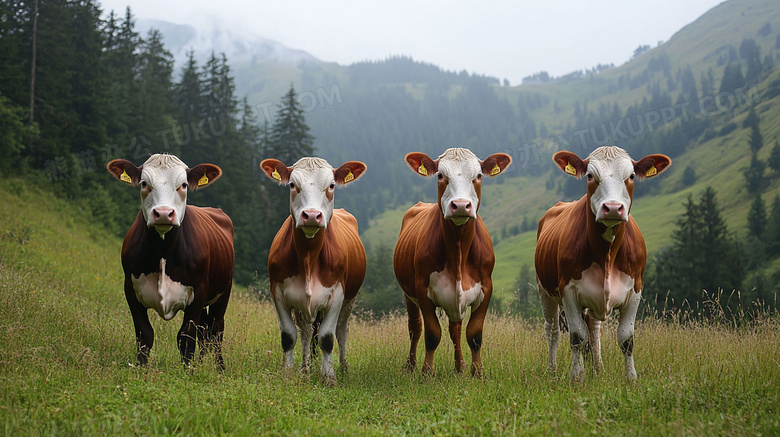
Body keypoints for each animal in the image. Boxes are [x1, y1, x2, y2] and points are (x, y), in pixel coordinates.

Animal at [106, 153, 235, 368]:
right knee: (205, 331)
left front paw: (188, 372)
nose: (164, 213)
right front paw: (141, 368)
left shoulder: (199, 292)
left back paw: (220, 368)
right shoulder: (130, 289)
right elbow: (145, 334)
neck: (163, 252)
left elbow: (186, 337)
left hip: (223, 292)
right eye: (144, 183)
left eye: (183, 184)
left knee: (216, 331)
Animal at [260, 157, 368, 384]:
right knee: (306, 331)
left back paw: (344, 367)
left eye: (332, 185)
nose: (311, 215)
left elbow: (327, 337)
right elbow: (289, 335)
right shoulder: (278, 293)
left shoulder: (337, 294)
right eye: (292, 185)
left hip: (350, 300)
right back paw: (305, 368)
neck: (309, 257)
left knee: (341, 331)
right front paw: (289, 372)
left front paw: (329, 377)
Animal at [396, 146, 512, 374]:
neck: (458, 251)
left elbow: (474, 335)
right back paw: (410, 366)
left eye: (478, 175)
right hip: (408, 294)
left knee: (455, 328)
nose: (459, 205)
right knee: (415, 328)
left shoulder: (486, 287)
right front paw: (427, 372)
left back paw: (460, 367)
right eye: (440, 175)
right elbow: (432, 334)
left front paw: (477, 372)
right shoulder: (422, 289)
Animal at [536, 145, 672, 380]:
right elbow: (576, 336)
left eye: (632, 176)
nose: (613, 208)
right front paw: (577, 377)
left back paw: (598, 369)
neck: (607, 253)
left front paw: (631, 378)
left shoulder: (635, 290)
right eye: (590, 175)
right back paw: (552, 369)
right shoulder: (568, 290)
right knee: (553, 330)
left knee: (595, 330)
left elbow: (626, 338)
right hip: (545, 291)